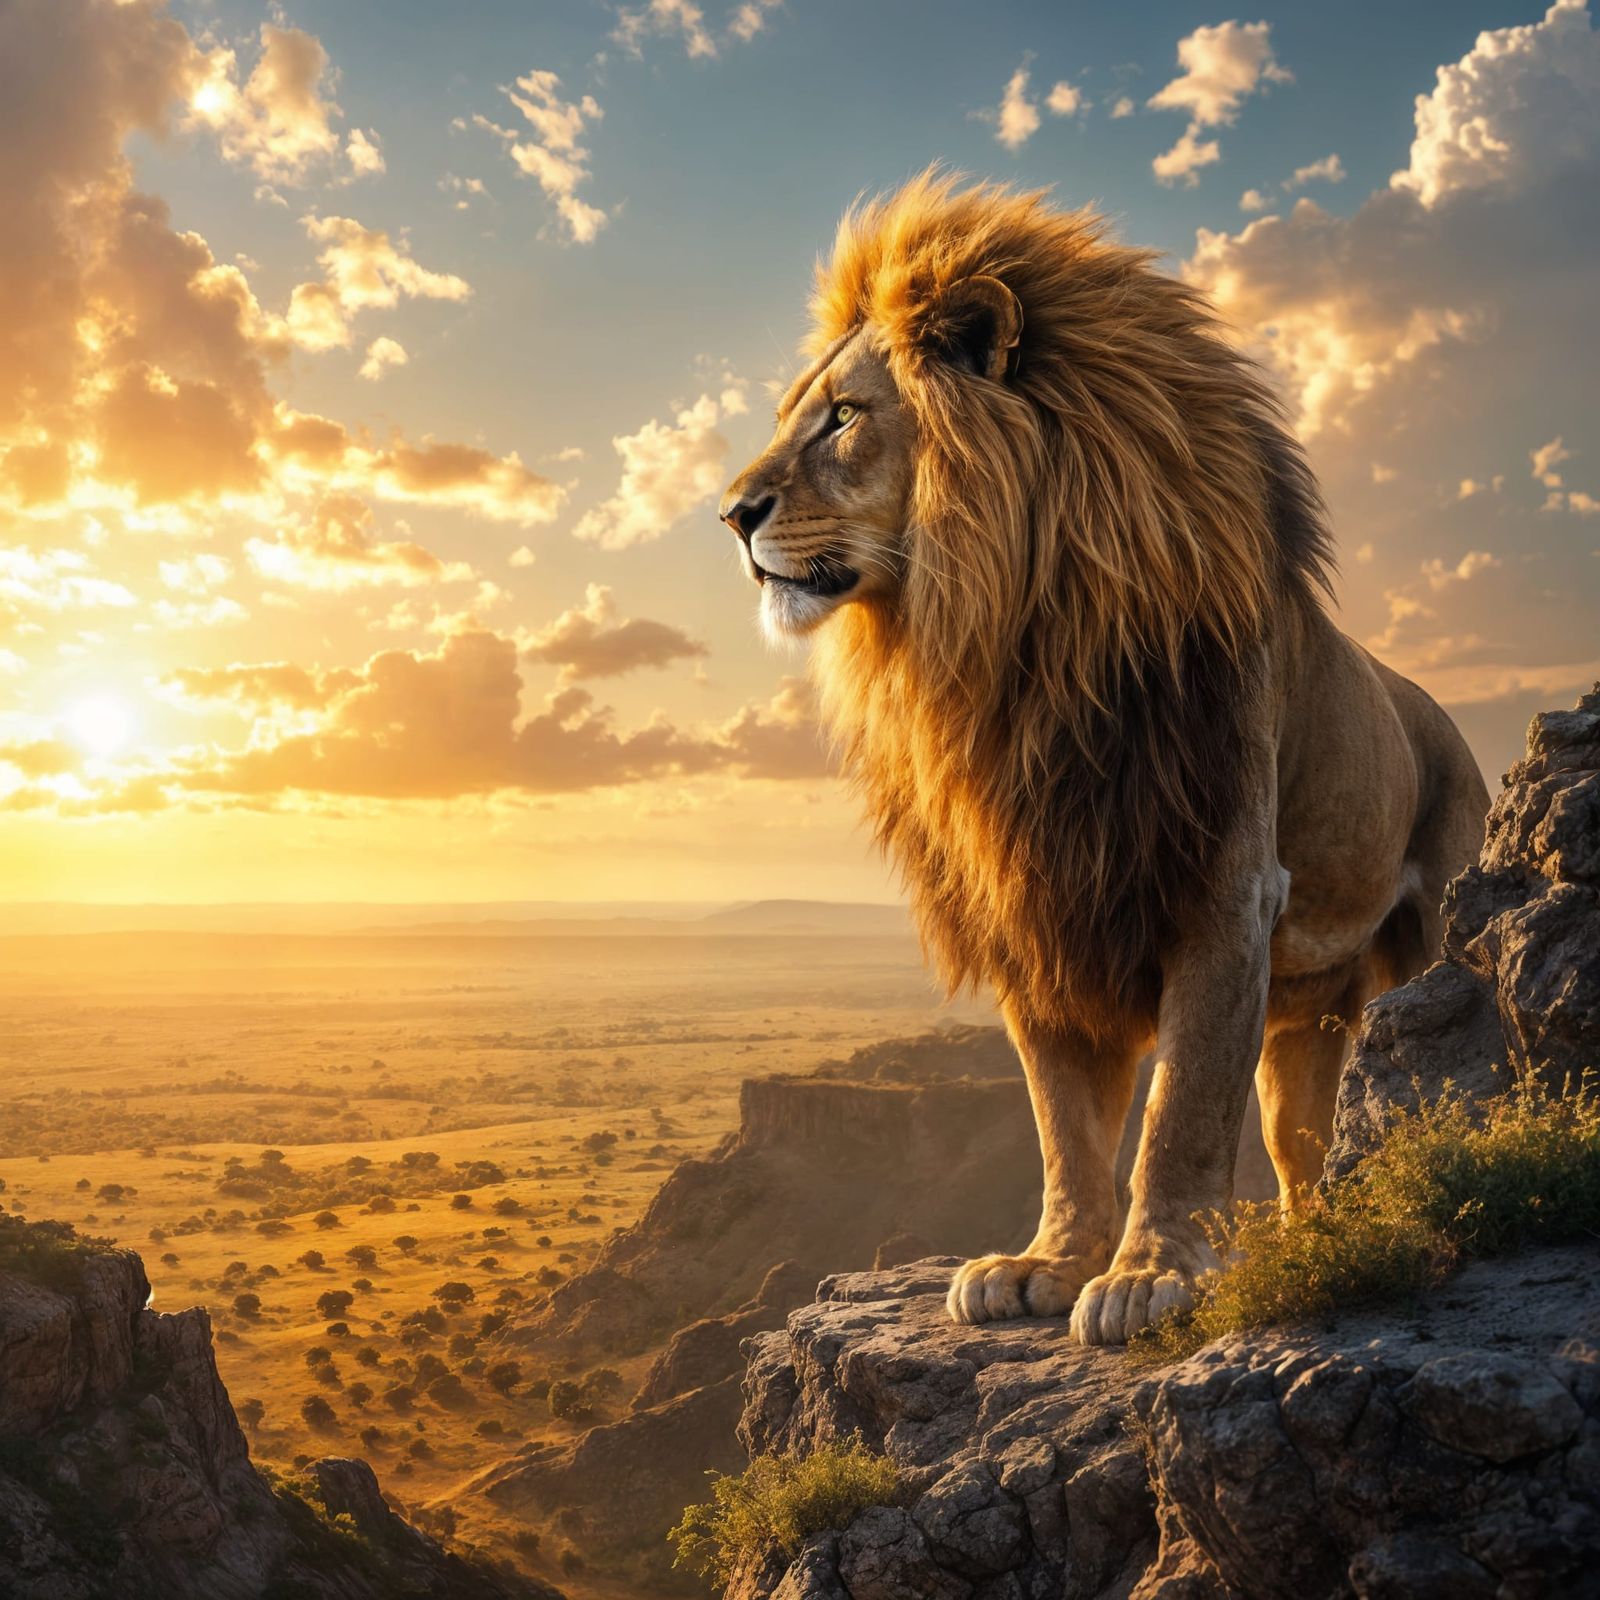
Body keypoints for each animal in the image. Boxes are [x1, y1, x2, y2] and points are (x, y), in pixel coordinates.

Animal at [718, 173, 1490, 1344]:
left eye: (845, 417)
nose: (731, 514)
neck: (1016, 651)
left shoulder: (1220, 885)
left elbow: (1182, 1107)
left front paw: (1153, 1272)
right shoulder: (1036, 899)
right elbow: (1064, 1117)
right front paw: (1048, 1260)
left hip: (1440, 919)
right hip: (1311, 1012)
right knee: (1300, 1143)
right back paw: (1308, 1244)